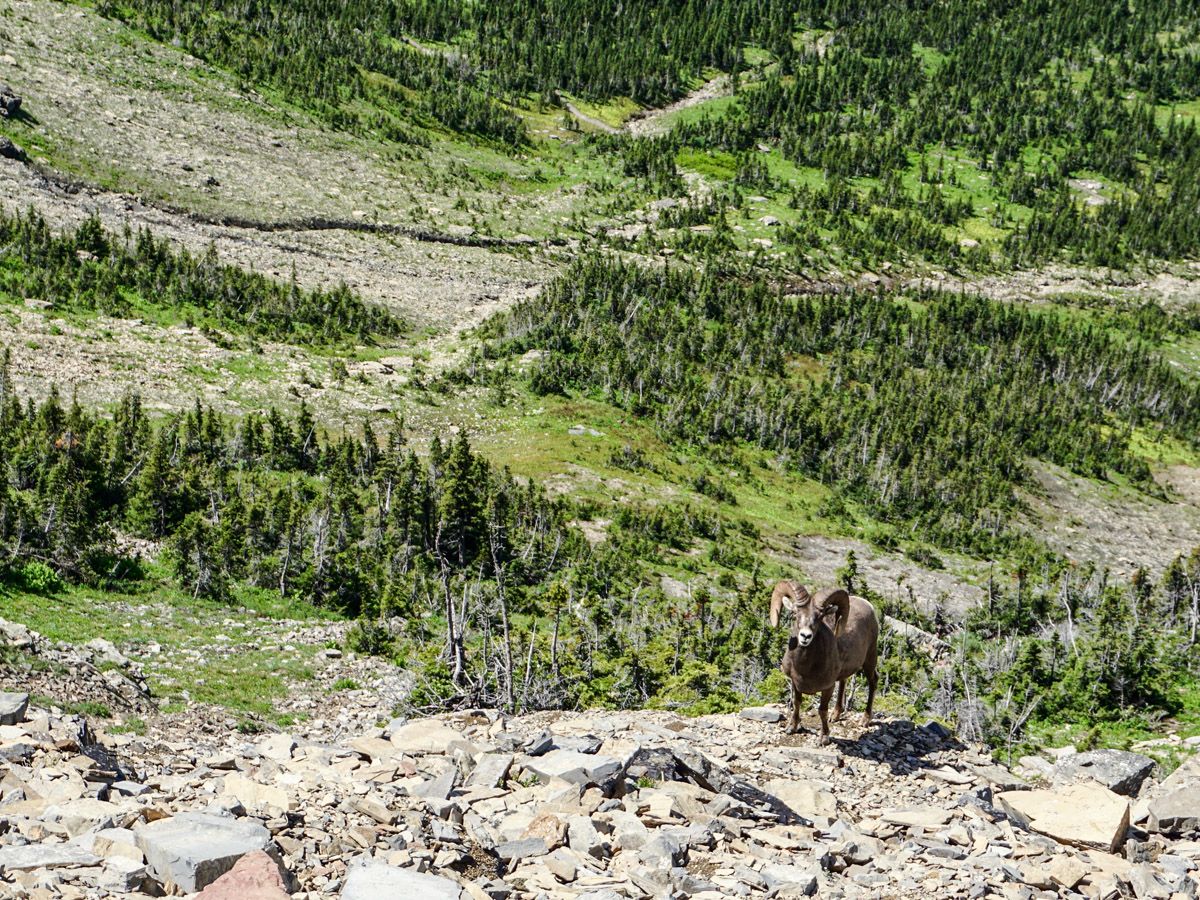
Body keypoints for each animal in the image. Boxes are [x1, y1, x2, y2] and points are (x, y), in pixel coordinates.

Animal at [772, 580, 878, 744]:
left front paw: (824, 738)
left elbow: (822, 710)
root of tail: (868, 605)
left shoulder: (828, 687)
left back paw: (865, 720)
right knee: (844, 681)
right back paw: (835, 716)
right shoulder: (795, 682)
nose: (805, 636)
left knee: (873, 681)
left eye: (819, 617)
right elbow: (797, 703)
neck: (804, 669)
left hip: (870, 660)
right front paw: (792, 728)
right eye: (795, 614)